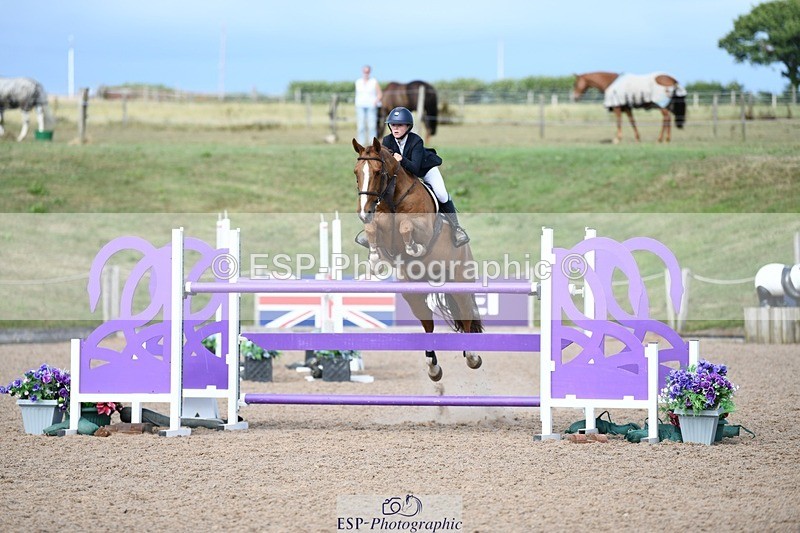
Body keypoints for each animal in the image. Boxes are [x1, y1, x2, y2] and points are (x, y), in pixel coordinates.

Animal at [352, 137, 483, 381]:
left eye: (377, 172)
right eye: (356, 172)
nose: (364, 212)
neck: (393, 197)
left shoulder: (423, 227)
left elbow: (406, 226)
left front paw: (414, 247)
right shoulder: (383, 230)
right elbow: (374, 228)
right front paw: (374, 259)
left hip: (460, 283)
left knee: (466, 315)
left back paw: (472, 356)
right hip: (413, 295)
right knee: (428, 325)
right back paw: (433, 367)